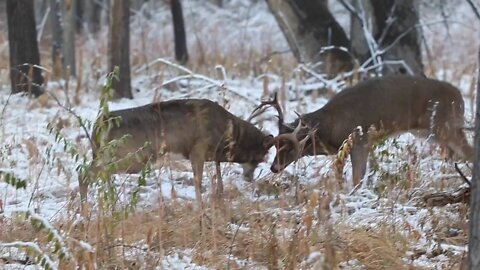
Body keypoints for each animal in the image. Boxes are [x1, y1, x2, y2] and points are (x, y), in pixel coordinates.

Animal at [79, 98, 274, 207]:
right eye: (261, 156)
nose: (249, 178)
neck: (227, 130)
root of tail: (98, 125)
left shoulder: (212, 156)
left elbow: (218, 179)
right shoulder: (197, 149)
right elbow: (198, 183)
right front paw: (200, 208)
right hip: (128, 156)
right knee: (86, 175)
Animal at [268, 75, 474, 187]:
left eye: (290, 147)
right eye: (275, 146)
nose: (273, 167)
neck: (331, 127)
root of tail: (460, 97)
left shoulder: (360, 140)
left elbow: (358, 178)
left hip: (447, 125)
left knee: (469, 152)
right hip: (431, 133)